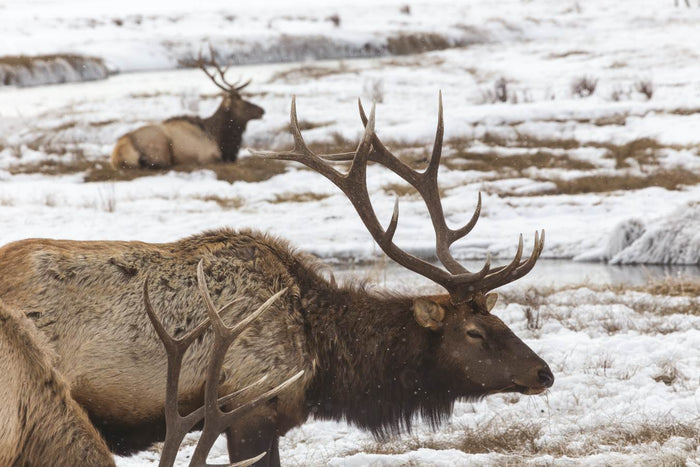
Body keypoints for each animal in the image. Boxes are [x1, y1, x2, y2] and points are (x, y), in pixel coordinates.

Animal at [110, 54, 264, 170]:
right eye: (241, 101)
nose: (262, 110)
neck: (220, 140)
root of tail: (117, 154)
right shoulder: (208, 155)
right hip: (158, 146)